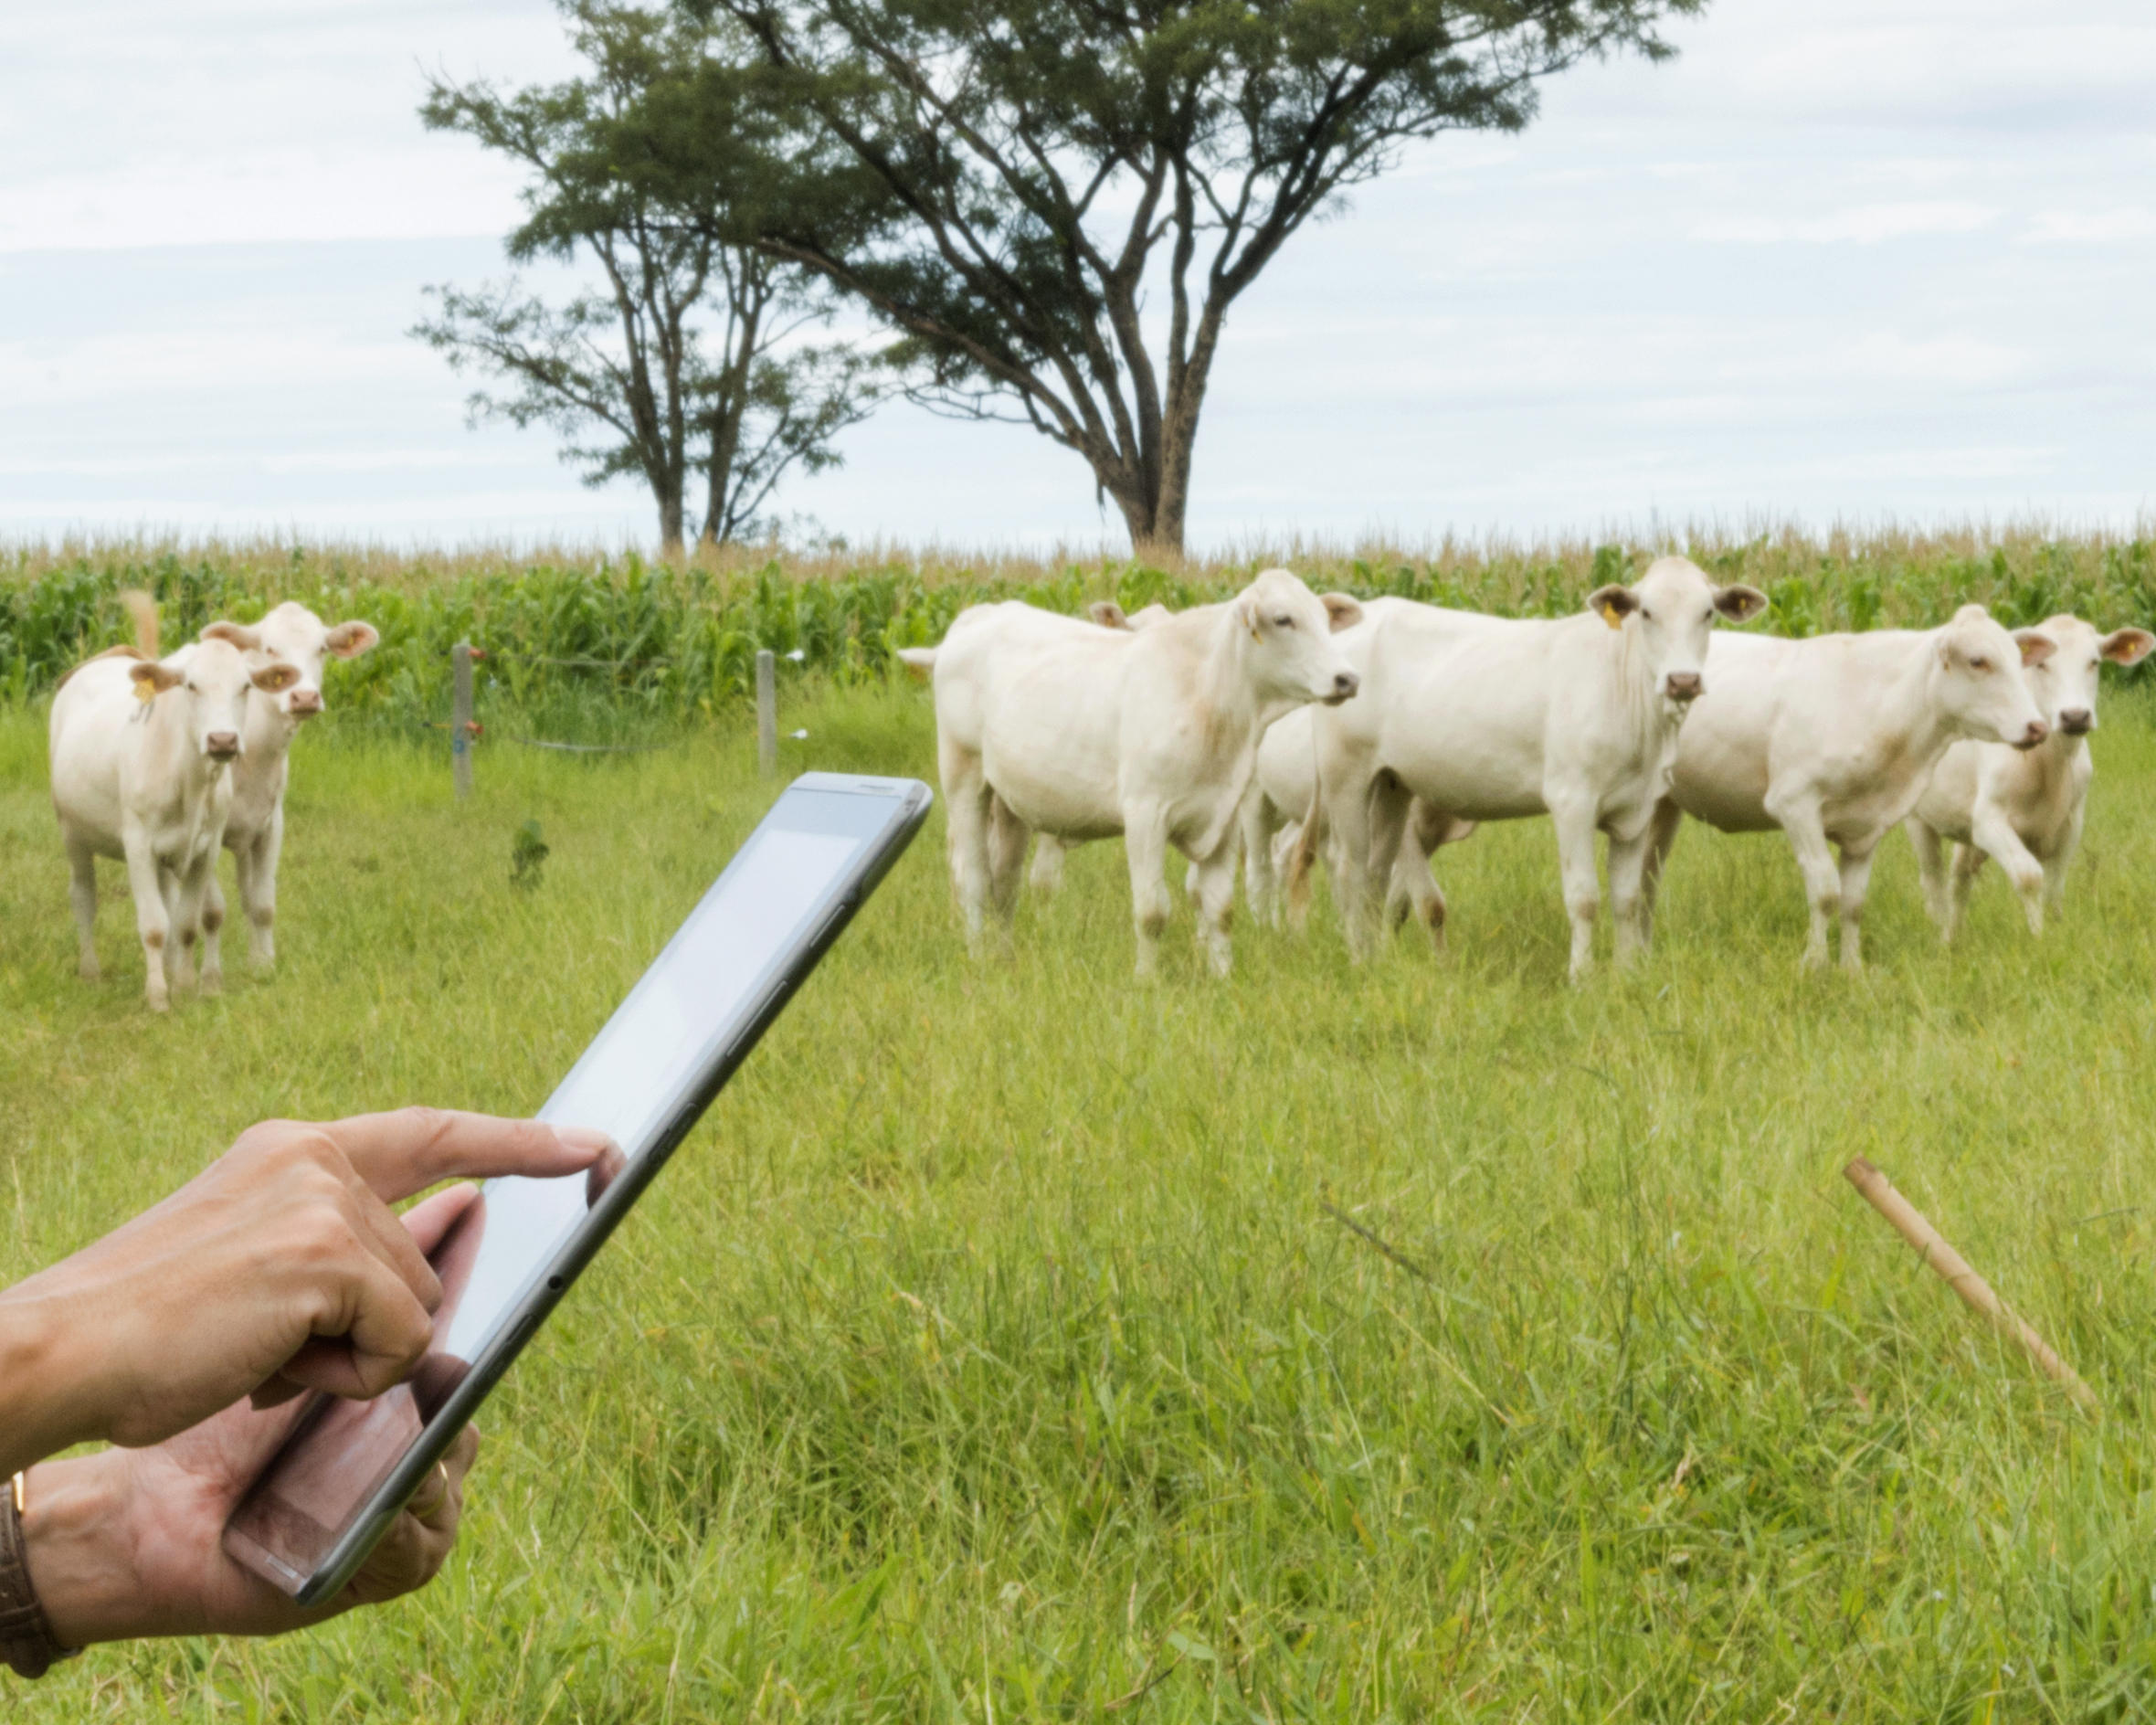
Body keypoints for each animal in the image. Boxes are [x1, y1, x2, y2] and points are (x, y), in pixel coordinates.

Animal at [50, 595, 301, 1009]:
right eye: (191, 685)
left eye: (246, 686)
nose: (222, 740)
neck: (190, 780)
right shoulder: (137, 844)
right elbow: (153, 925)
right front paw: (157, 998)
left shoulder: (205, 847)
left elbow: (185, 921)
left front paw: (184, 985)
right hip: (73, 832)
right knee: (83, 896)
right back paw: (90, 970)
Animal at [909, 573, 1362, 979]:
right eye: (1284, 619)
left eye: (1324, 619)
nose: (1348, 678)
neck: (1209, 698)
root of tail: (980, 617)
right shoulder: (1146, 814)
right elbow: (1152, 911)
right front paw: (1146, 980)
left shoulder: (1225, 817)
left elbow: (1220, 908)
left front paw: (1222, 976)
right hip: (964, 779)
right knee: (973, 878)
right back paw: (977, 956)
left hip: (1011, 802)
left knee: (1004, 883)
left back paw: (1005, 956)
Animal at [1647, 603, 2052, 970]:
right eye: (1978, 661)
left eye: (2019, 659)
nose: (2037, 727)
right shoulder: (1794, 803)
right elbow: (1826, 892)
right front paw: (1814, 964)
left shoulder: (1867, 826)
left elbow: (1853, 903)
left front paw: (1852, 968)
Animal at [1914, 616, 2147, 944]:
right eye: (2042, 665)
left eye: (2094, 662)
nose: (2075, 716)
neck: (2051, 766)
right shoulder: (1989, 820)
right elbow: (2029, 876)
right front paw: (2039, 939)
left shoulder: (2070, 824)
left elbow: (2054, 886)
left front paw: (2056, 931)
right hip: (1917, 818)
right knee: (1932, 877)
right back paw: (1941, 933)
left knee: (1960, 877)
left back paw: (1953, 936)